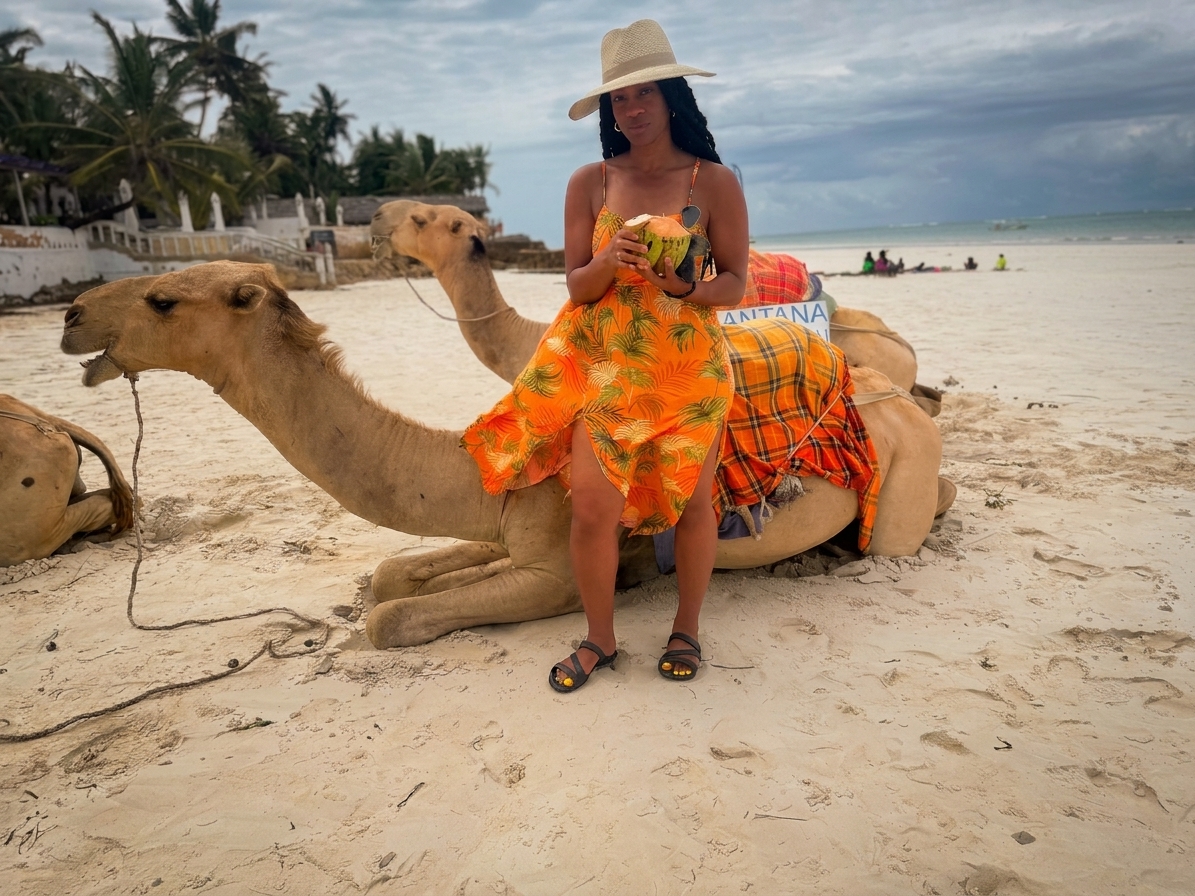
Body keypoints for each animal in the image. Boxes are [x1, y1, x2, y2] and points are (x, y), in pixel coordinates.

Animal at [61, 261, 949, 648]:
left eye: (161, 299)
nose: (70, 314)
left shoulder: (557, 567)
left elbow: (389, 616)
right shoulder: (507, 526)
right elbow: (392, 575)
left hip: (901, 475)